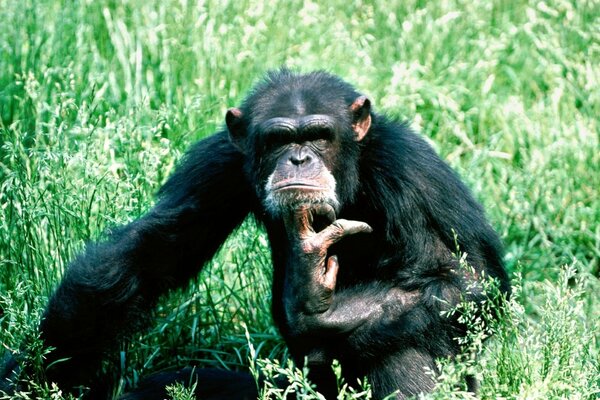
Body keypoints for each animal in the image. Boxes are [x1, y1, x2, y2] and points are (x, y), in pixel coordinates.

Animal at [1, 70, 510, 398]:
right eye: (279, 139)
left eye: (319, 134)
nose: (300, 158)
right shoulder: (218, 162)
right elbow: (146, 256)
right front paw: (31, 377)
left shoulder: (409, 172)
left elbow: (466, 283)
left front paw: (317, 306)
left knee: (401, 347)